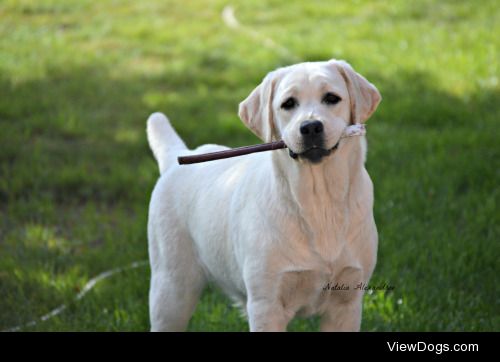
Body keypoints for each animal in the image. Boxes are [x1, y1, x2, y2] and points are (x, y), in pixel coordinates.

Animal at [146, 58, 380, 330]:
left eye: (332, 98)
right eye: (288, 104)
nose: (311, 127)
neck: (318, 202)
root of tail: (178, 156)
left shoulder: (347, 303)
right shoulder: (266, 304)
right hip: (172, 290)